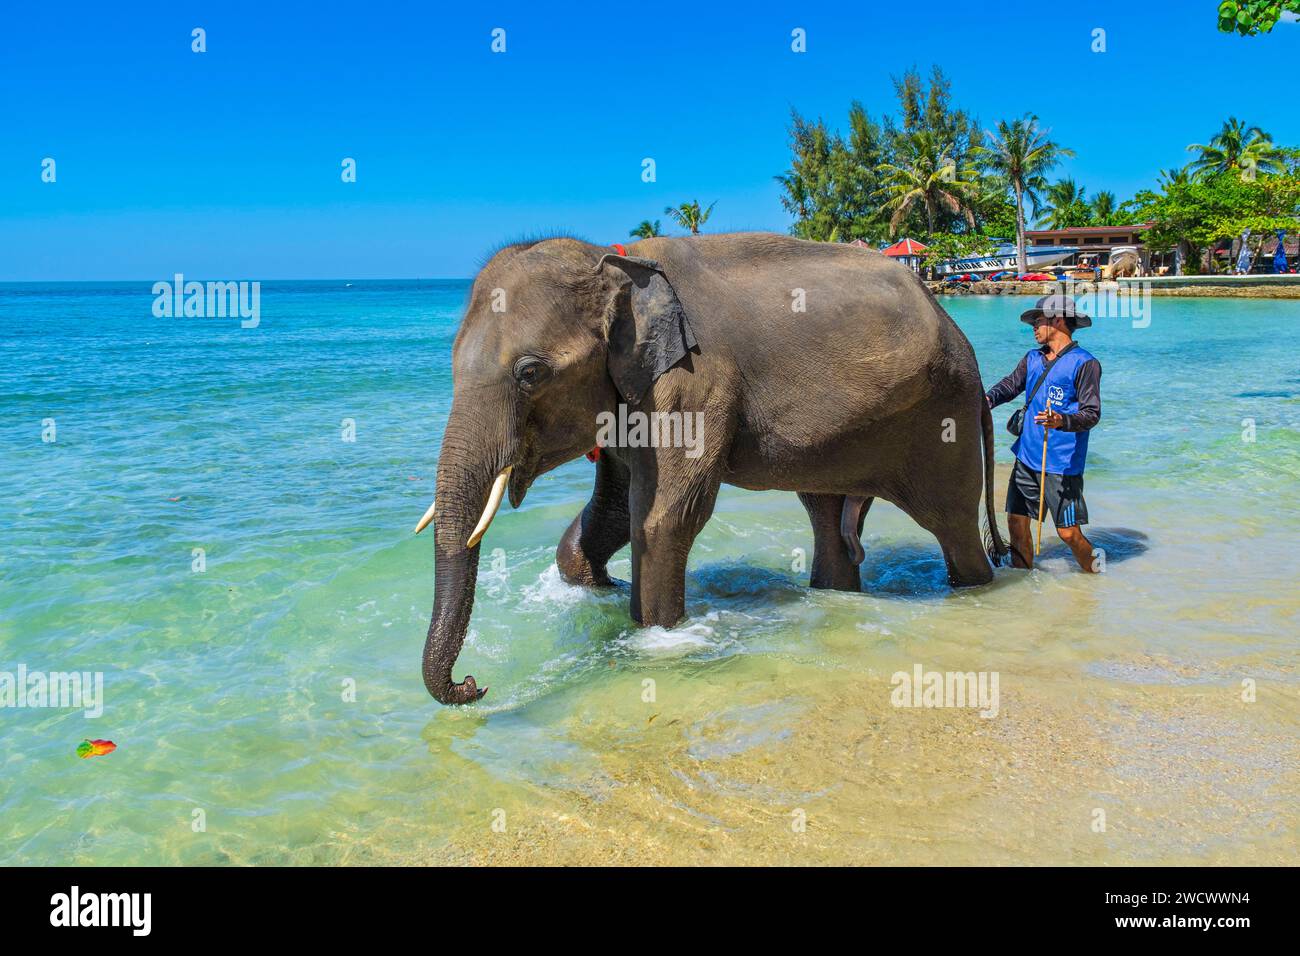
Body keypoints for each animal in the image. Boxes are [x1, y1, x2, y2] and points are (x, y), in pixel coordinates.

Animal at [410, 231, 1008, 702]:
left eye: (530, 372)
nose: (474, 684)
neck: (616, 260)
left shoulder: (693, 380)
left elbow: (662, 518)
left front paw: (655, 635)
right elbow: (609, 512)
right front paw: (596, 588)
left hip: (944, 417)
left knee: (951, 525)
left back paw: (974, 588)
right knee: (825, 513)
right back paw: (835, 593)